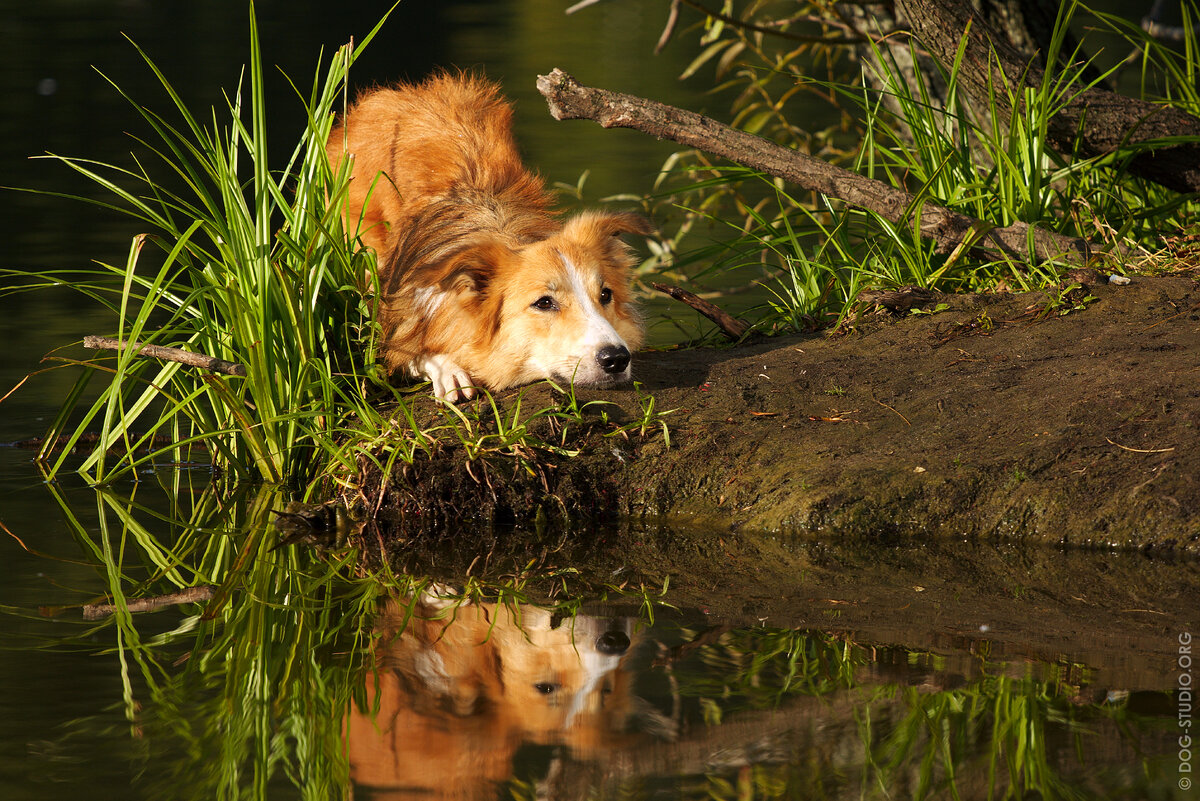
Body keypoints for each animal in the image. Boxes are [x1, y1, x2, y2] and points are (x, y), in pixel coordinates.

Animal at [324, 72, 652, 400]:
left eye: (605, 295)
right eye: (544, 303)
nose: (616, 358)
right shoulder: (399, 313)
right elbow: (409, 348)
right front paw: (448, 369)